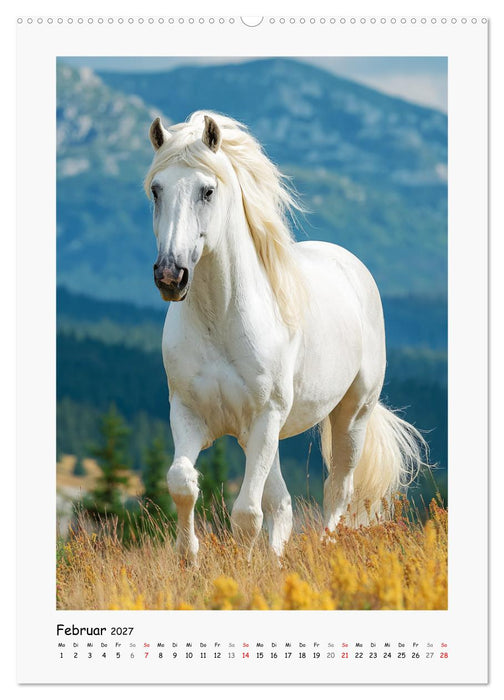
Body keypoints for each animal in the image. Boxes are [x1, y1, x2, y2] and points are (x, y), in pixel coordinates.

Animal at [145, 111, 426, 564]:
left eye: (208, 190)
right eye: (156, 189)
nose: (171, 275)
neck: (221, 320)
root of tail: (352, 265)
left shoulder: (265, 417)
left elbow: (246, 513)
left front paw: (240, 570)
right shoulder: (188, 413)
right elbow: (182, 483)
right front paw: (190, 559)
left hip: (351, 415)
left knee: (337, 490)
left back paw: (326, 549)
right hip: (257, 435)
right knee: (284, 502)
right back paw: (277, 558)